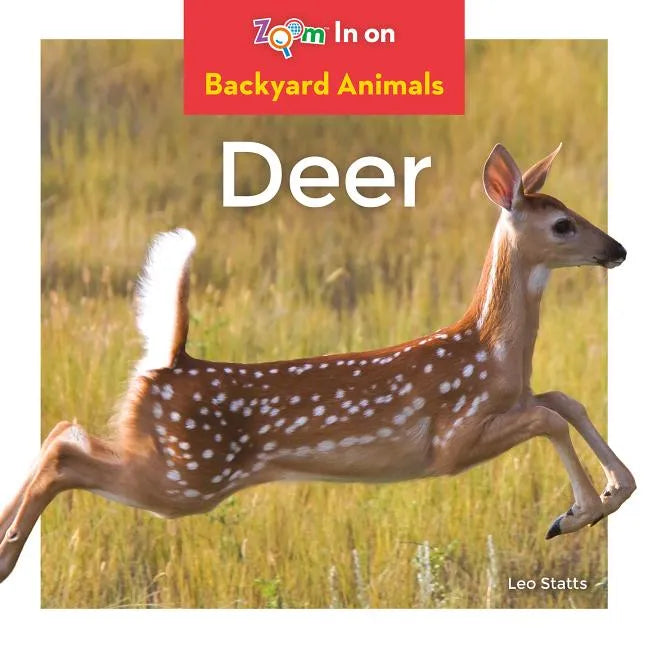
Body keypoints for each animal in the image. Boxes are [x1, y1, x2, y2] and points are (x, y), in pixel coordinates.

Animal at [0, 143, 636, 584]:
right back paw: (7, 557)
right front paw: (575, 514)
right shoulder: (453, 440)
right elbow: (550, 417)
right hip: (186, 477)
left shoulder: (514, 401)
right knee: (64, 452)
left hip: (170, 465)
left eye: (574, 210)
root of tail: (168, 363)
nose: (617, 250)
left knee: (62, 430)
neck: (492, 352)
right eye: (562, 224)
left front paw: (612, 493)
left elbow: (565, 401)